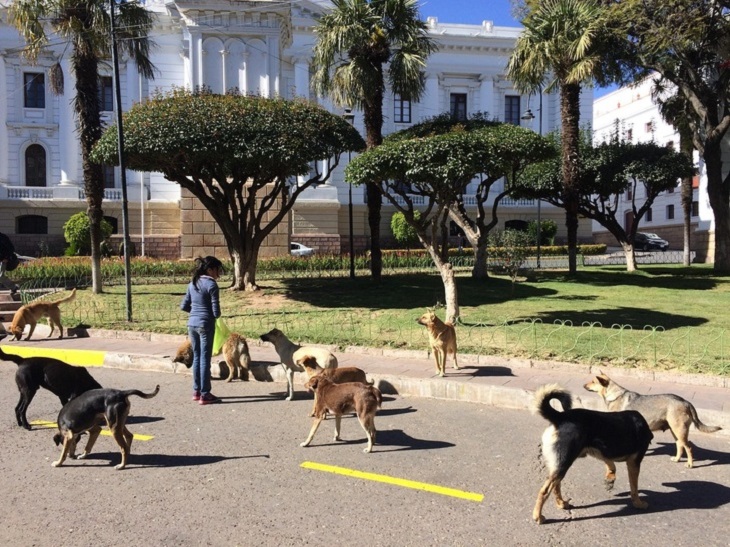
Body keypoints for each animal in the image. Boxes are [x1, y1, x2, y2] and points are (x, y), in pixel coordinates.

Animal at [528, 384, 652, 524]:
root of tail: (560, 417)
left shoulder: (602, 451)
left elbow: (611, 464)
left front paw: (610, 479)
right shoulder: (634, 462)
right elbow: (634, 487)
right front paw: (638, 503)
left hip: (557, 465)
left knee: (556, 486)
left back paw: (561, 503)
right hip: (564, 462)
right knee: (545, 491)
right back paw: (538, 516)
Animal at [584, 370, 720, 468]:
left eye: (593, 381)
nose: (584, 385)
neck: (614, 394)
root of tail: (686, 402)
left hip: (679, 430)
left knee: (688, 447)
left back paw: (690, 464)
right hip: (675, 431)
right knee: (680, 446)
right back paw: (677, 459)